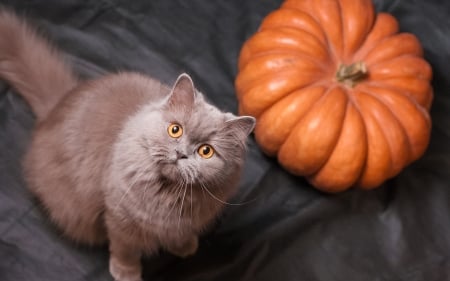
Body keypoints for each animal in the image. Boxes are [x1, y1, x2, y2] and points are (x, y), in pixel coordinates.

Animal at [0, 8, 255, 280]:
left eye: (205, 151)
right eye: (175, 130)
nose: (181, 153)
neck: (168, 195)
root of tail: (58, 104)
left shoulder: (183, 224)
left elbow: (179, 235)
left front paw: (184, 247)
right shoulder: (120, 217)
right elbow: (125, 249)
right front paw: (126, 273)